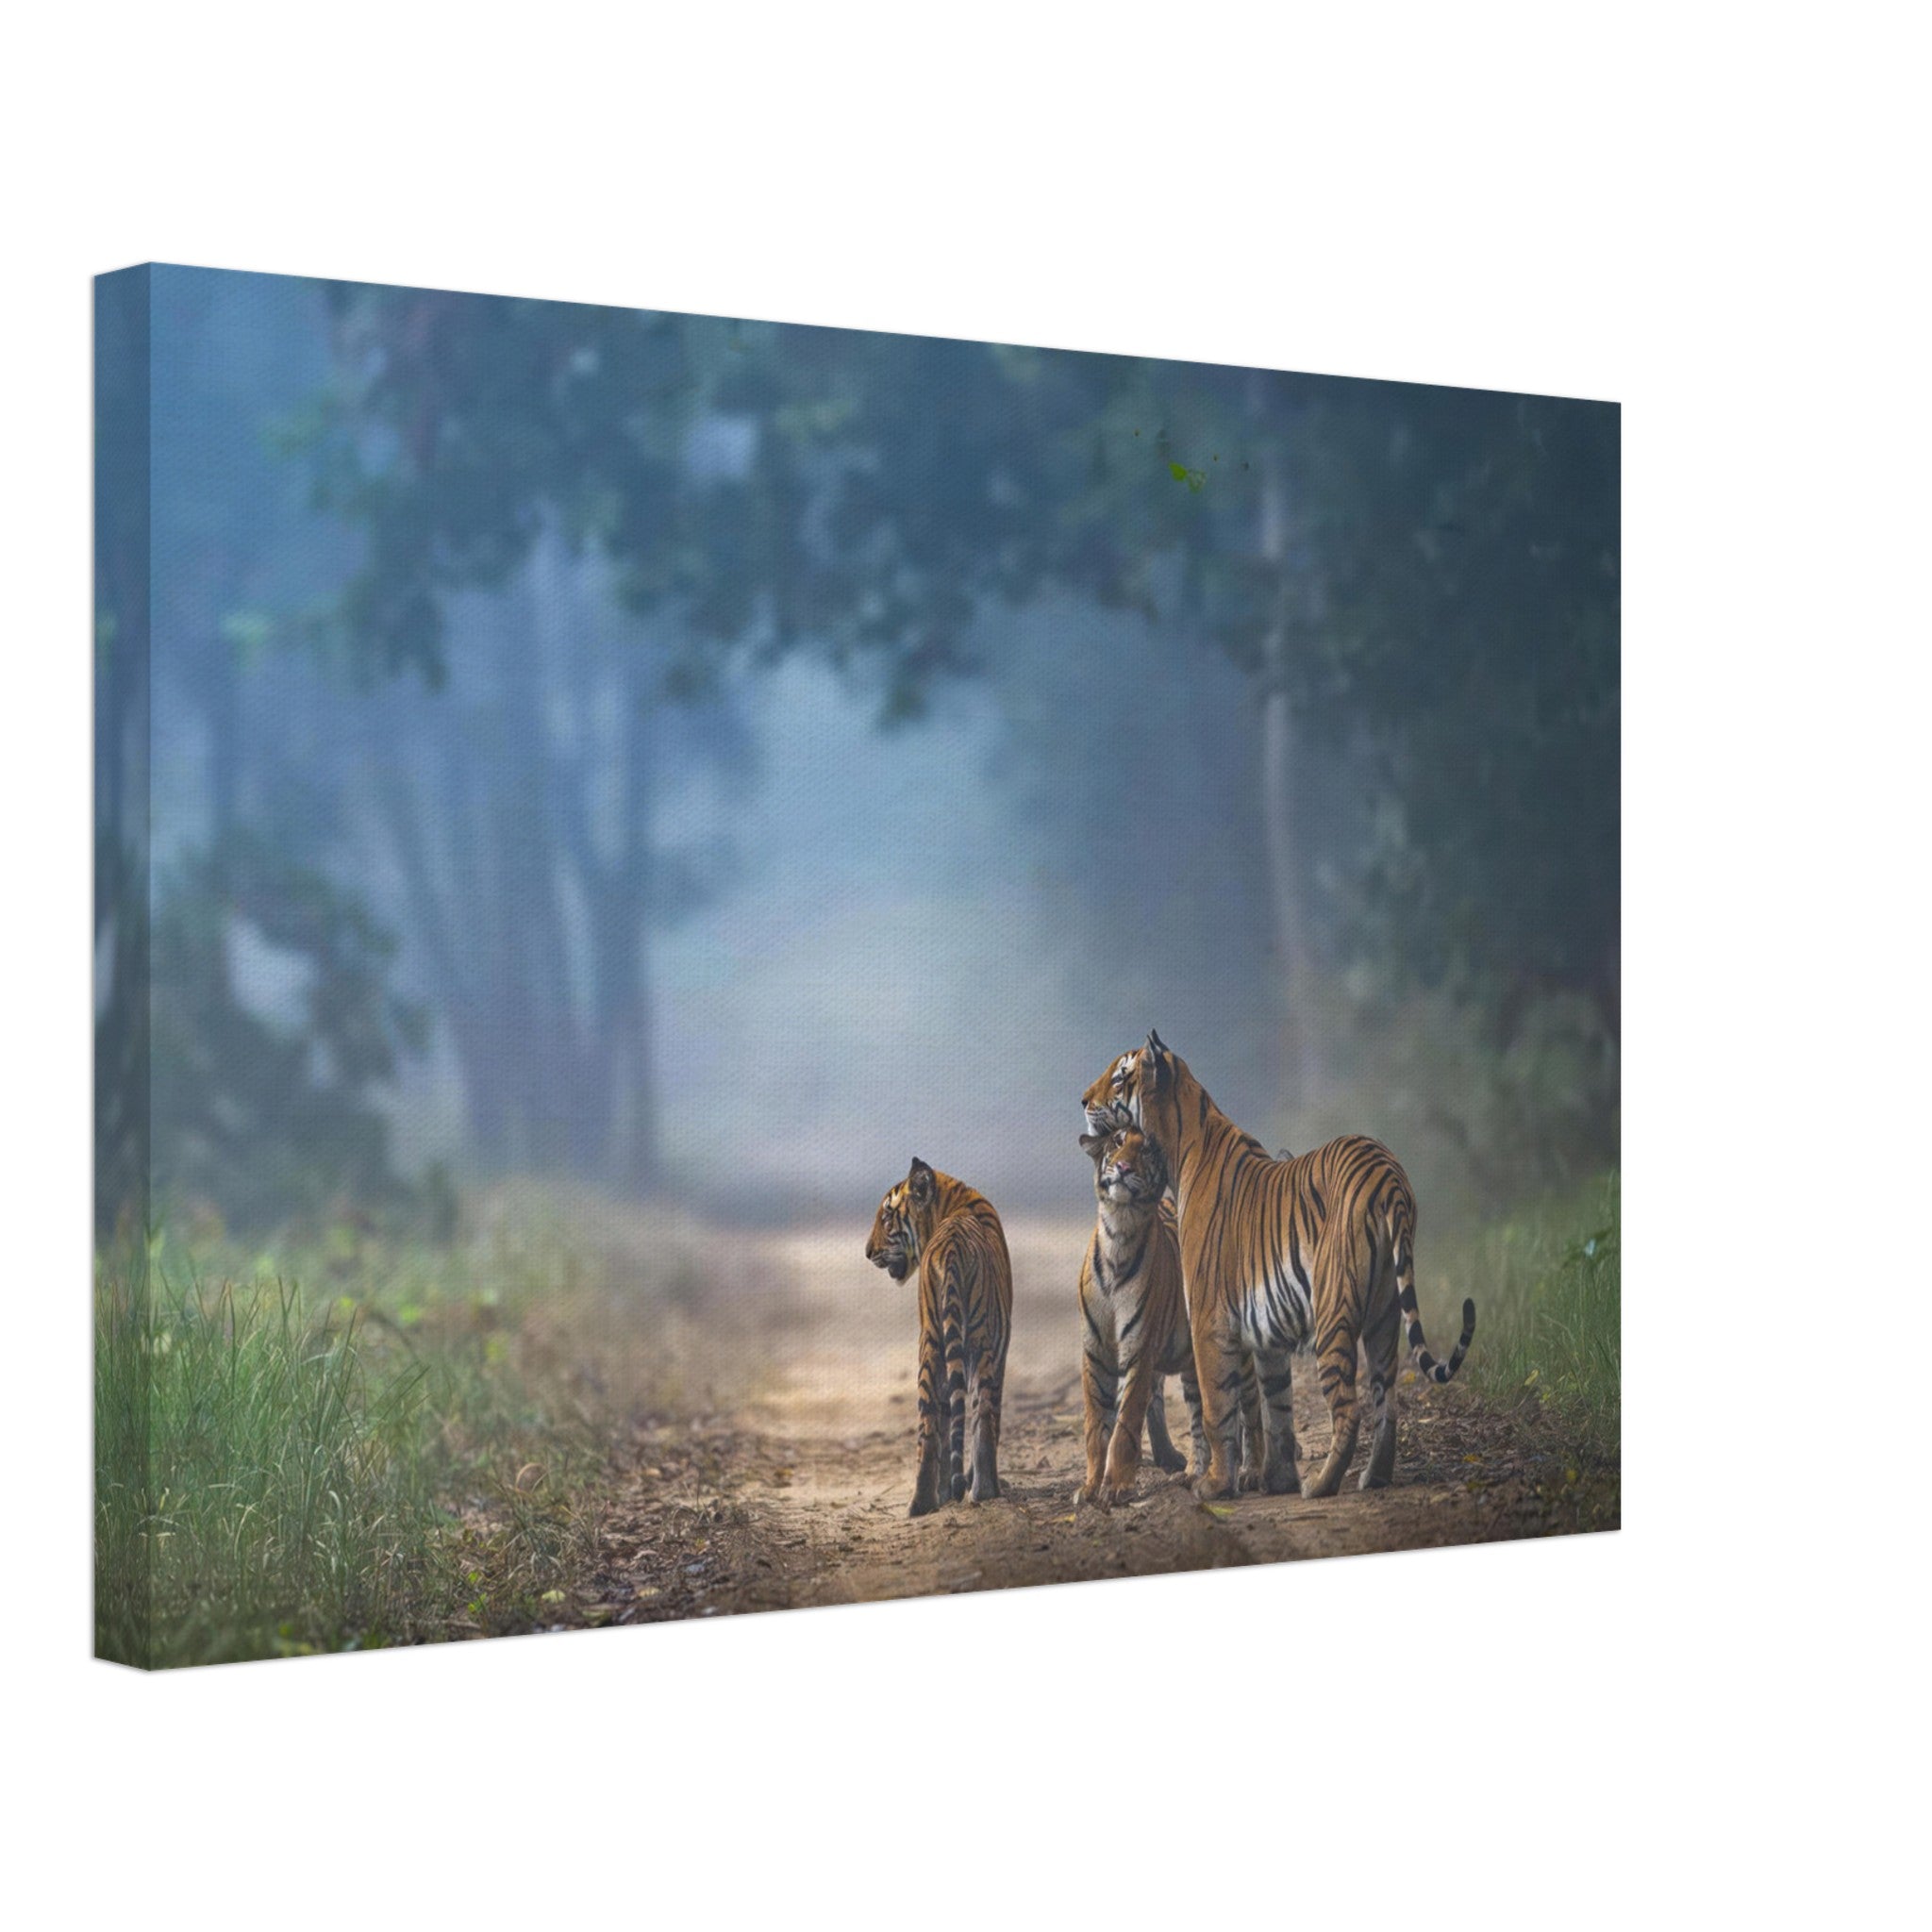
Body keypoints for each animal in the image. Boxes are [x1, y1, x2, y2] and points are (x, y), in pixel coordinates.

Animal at [864, 1157, 1014, 1517]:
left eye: (886, 1218)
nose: (867, 1252)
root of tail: (951, 1247)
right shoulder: (1000, 1350)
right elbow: (989, 1418)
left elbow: (948, 1421)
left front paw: (947, 1491)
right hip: (981, 1343)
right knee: (982, 1415)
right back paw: (986, 1490)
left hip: (930, 1343)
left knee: (929, 1425)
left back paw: (920, 1504)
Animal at [1075, 1122, 1262, 1504]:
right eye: (1117, 1143)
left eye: (1146, 1150)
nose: (1123, 1167)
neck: (1119, 1229)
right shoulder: (1095, 1353)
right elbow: (1096, 1426)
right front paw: (1090, 1486)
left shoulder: (1138, 1351)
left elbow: (1125, 1423)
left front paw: (1115, 1487)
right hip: (1192, 1365)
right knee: (1199, 1417)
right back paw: (1194, 1473)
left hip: (1237, 1351)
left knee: (1251, 1407)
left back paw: (1251, 1471)